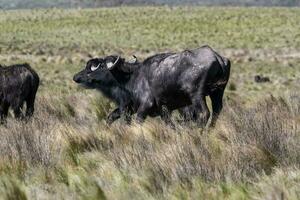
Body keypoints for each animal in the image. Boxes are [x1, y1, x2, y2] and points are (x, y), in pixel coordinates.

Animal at [74, 45, 231, 126]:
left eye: (99, 66)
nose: (76, 77)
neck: (132, 76)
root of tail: (216, 57)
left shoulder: (143, 106)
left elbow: (136, 121)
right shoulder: (161, 110)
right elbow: (111, 117)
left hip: (196, 95)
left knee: (204, 114)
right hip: (217, 93)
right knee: (216, 111)